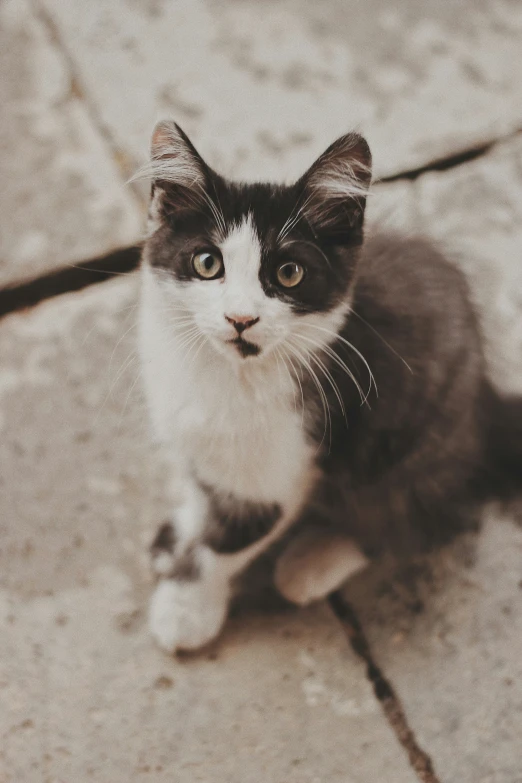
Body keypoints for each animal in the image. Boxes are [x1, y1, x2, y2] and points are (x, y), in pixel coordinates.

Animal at [135, 119, 520, 652]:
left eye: (289, 273)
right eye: (207, 263)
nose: (240, 318)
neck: (225, 374)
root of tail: (485, 404)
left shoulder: (281, 466)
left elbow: (228, 541)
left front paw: (186, 609)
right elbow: (202, 489)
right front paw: (183, 530)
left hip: (412, 444)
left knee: (411, 516)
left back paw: (313, 561)